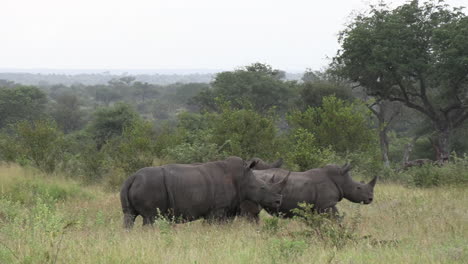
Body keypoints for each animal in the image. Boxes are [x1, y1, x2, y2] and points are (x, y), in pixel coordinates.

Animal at [119, 156, 288, 228]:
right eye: (263, 187)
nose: (279, 201)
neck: (243, 178)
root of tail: (132, 177)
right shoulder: (218, 210)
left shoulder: (223, 210)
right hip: (150, 186)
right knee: (150, 219)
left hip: (135, 185)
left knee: (129, 216)